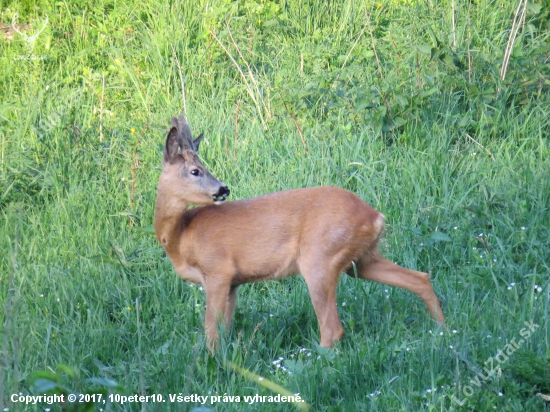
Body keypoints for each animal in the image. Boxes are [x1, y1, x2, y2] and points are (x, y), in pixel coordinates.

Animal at [153, 116, 446, 350]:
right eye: (195, 170)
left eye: (203, 168)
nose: (223, 189)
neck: (181, 237)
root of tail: (376, 216)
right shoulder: (234, 282)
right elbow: (224, 329)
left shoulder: (218, 270)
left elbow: (211, 331)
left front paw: (211, 363)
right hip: (362, 259)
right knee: (420, 278)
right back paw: (442, 329)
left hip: (319, 258)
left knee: (332, 328)